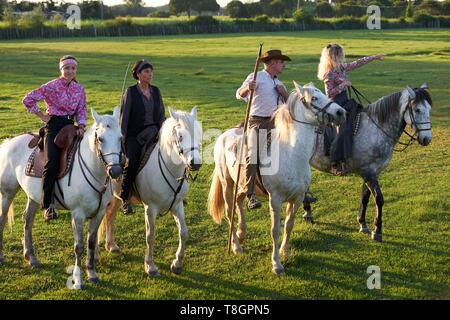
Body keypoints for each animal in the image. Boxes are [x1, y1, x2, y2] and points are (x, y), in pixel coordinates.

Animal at [0, 108, 123, 290]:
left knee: (27, 220)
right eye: (100, 139)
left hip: (34, 197)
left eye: (120, 138)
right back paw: (2, 257)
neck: (94, 170)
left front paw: (92, 273)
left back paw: (31, 257)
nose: (115, 171)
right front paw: (78, 280)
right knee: (2, 220)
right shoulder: (77, 214)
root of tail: (8, 142)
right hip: (7, 193)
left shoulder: (99, 213)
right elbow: (79, 246)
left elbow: (91, 242)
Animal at [100, 107, 204, 276]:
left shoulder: (177, 205)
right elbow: (150, 236)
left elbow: (184, 232)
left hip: (115, 197)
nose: (195, 163)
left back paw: (111, 246)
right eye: (180, 136)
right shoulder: (150, 208)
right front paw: (150, 266)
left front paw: (177, 263)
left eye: (198, 133)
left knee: (110, 216)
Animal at [209, 81, 346, 274]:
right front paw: (276, 263)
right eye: (314, 98)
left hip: (242, 185)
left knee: (239, 202)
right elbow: (275, 229)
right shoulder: (275, 199)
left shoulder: (297, 198)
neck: (291, 154)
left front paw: (285, 251)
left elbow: (289, 224)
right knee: (229, 212)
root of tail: (223, 136)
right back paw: (236, 246)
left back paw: (242, 233)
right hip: (226, 182)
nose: (341, 112)